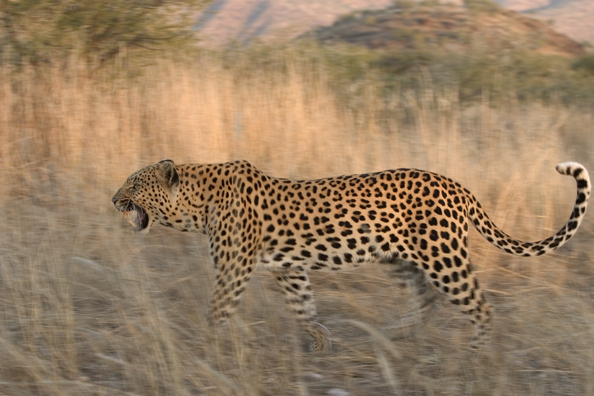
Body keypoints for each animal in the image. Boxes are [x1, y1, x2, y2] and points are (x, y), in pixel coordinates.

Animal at [111, 159, 588, 352]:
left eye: (134, 184)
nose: (113, 199)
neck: (197, 203)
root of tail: (457, 185)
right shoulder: (289, 269)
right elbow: (303, 308)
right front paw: (321, 340)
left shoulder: (233, 269)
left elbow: (218, 310)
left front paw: (205, 346)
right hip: (401, 257)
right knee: (426, 300)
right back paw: (395, 336)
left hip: (443, 256)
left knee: (480, 305)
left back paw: (476, 353)